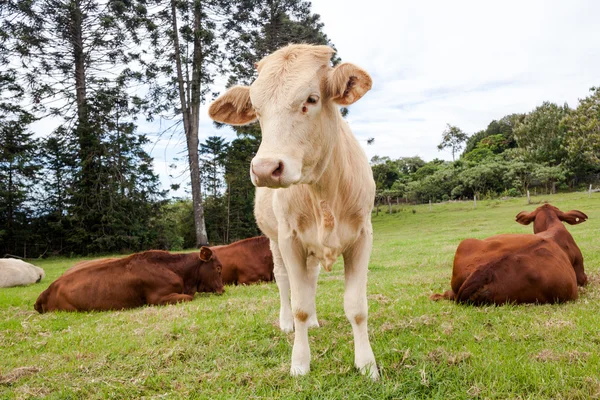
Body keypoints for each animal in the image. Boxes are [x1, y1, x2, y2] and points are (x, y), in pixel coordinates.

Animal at [210, 45, 380, 380]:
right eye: (256, 109)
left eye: (311, 99)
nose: (266, 169)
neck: (325, 193)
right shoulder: (290, 238)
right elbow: (298, 301)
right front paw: (300, 363)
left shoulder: (362, 235)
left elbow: (357, 307)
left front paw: (367, 365)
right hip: (274, 240)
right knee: (283, 279)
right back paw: (287, 322)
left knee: (311, 276)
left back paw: (314, 321)